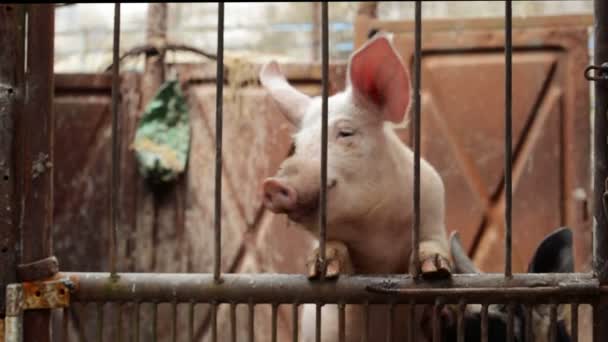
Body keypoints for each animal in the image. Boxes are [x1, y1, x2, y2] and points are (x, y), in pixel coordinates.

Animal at [260, 32, 452, 342]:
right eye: (296, 146)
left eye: (345, 133)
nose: (273, 184)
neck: (374, 232)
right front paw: (320, 266)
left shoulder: (433, 209)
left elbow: (431, 244)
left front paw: (434, 270)